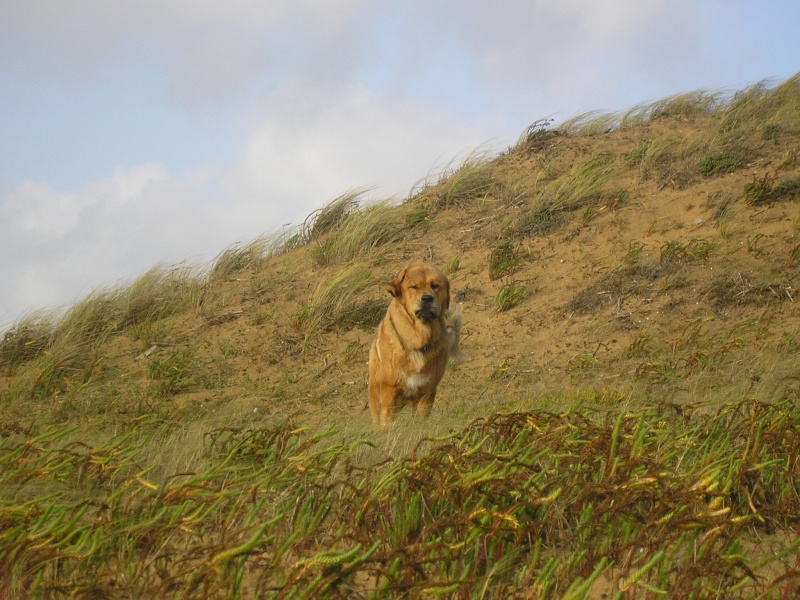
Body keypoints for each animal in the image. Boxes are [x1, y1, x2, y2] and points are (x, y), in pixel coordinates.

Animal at [368, 262, 462, 426]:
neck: (419, 341)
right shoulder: (389, 393)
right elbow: (388, 422)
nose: (427, 298)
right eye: (414, 287)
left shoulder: (426, 393)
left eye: (435, 286)